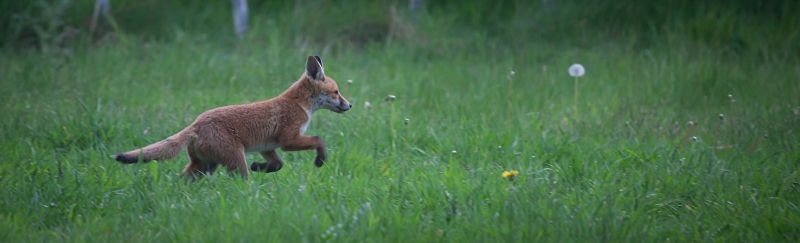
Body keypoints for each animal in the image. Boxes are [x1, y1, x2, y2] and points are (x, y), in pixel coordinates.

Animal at [114, 55, 352, 180]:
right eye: (336, 92)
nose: (350, 105)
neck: (298, 104)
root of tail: (196, 123)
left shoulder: (268, 147)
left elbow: (278, 164)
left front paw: (260, 167)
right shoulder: (288, 140)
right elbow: (319, 140)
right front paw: (320, 160)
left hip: (205, 166)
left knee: (182, 181)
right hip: (235, 161)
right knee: (240, 183)